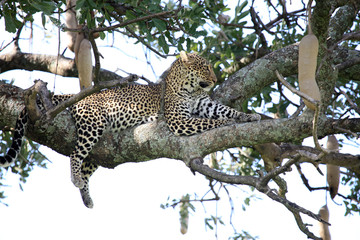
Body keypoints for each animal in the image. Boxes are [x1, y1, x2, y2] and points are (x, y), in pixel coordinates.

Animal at [0, 51, 260, 208]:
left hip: (100, 148)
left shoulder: (206, 105)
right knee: (75, 155)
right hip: (92, 125)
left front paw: (249, 116)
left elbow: (227, 110)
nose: (215, 79)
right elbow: (212, 122)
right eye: (204, 68)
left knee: (87, 165)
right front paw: (230, 124)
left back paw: (86, 197)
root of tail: (77, 96)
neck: (192, 90)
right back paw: (75, 179)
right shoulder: (178, 119)